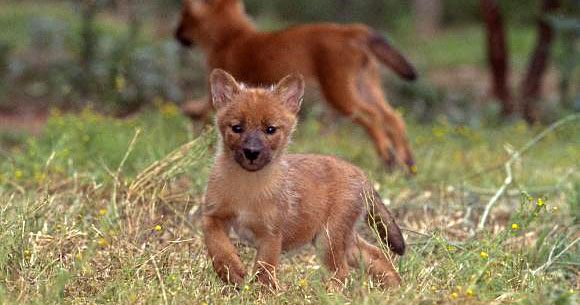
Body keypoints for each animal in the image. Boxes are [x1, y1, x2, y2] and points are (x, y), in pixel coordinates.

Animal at [174, 0, 420, 171]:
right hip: (367, 87)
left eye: (184, 15)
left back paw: (388, 156)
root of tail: (352, 30)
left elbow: (204, 107)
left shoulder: (221, 85)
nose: (176, 35)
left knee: (373, 117)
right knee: (393, 117)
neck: (232, 35)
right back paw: (407, 163)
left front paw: (190, 113)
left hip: (338, 91)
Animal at [204, 69, 408, 288]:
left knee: (342, 272)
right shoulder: (213, 216)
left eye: (270, 129)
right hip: (340, 241)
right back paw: (395, 288)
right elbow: (217, 245)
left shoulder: (271, 235)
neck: (247, 188)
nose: (251, 152)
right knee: (374, 255)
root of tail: (360, 173)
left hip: (328, 240)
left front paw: (258, 292)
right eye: (237, 128)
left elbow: (265, 273)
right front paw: (230, 270)